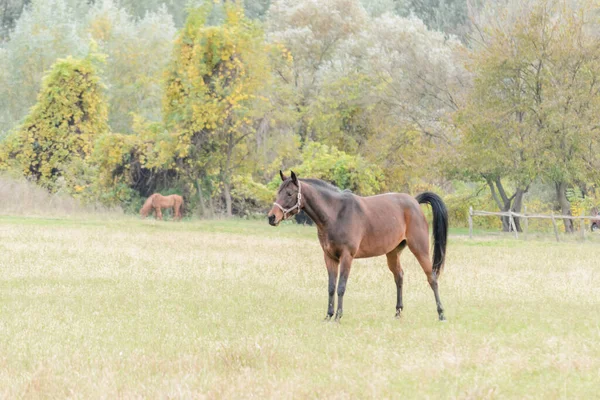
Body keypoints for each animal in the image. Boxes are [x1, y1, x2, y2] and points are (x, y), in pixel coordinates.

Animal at [266, 172, 446, 322]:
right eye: (278, 192)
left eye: (289, 194)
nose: (271, 217)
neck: (336, 214)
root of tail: (414, 201)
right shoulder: (329, 257)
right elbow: (331, 287)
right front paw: (328, 315)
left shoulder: (347, 256)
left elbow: (341, 287)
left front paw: (338, 316)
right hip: (392, 253)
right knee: (399, 277)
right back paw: (398, 313)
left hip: (419, 249)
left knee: (432, 278)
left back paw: (441, 313)